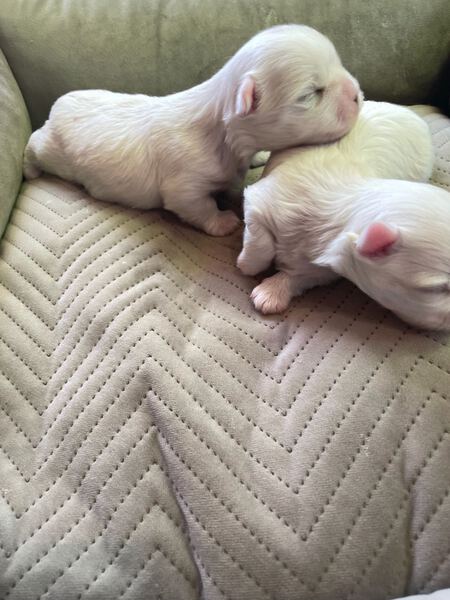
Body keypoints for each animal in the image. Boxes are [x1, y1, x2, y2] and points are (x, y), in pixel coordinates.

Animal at [23, 25, 361, 236]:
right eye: (311, 94)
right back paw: (29, 169)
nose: (358, 94)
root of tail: (59, 104)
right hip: (53, 150)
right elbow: (196, 204)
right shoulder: (184, 184)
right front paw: (223, 222)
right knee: (34, 143)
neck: (222, 133)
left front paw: (260, 155)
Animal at [237, 101, 450, 331]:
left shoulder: (325, 269)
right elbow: (260, 242)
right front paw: (247, 264)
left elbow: (299, 276)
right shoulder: (259, 200)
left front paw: (271, 293)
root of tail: (409, 110)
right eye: (436, 289)